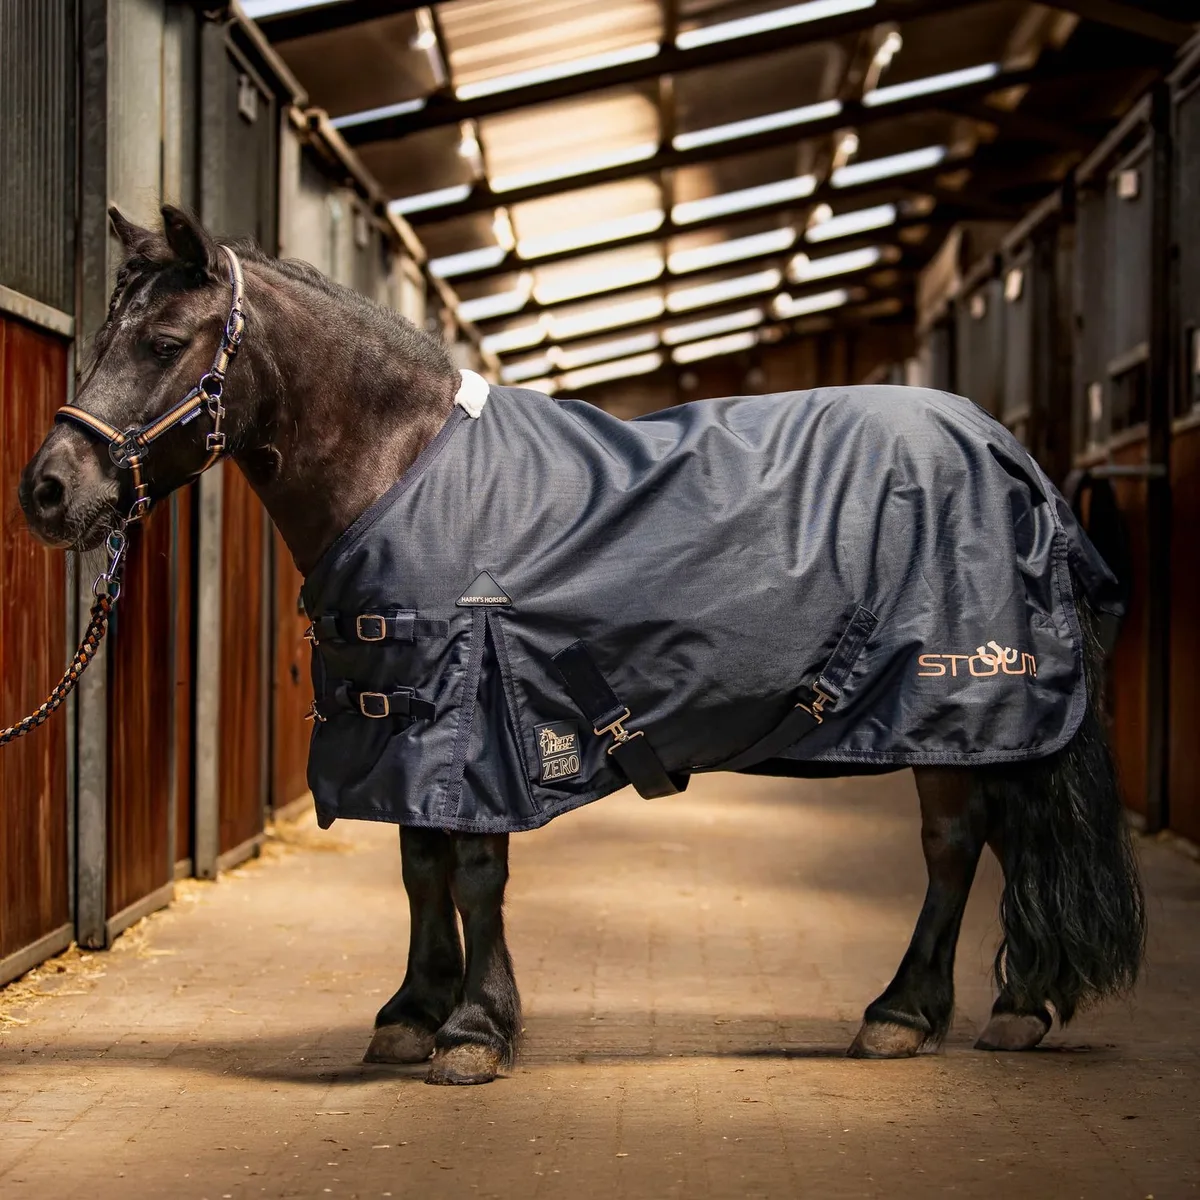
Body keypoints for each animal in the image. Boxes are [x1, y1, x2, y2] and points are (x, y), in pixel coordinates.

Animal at [18, 207, 1145, 1085]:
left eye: (165, 340)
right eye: (107, 333)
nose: (48, 491)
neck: (401, 466)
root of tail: (1002, 447)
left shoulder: (476, 704)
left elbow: (474, 867)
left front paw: (474, 1030)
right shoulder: (404, 707)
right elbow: (419, 862)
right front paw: (411, 1012)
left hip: (956, 704)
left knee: (956, 845)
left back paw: (902, 1015)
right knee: (1005, 836)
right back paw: (1016, 1006)